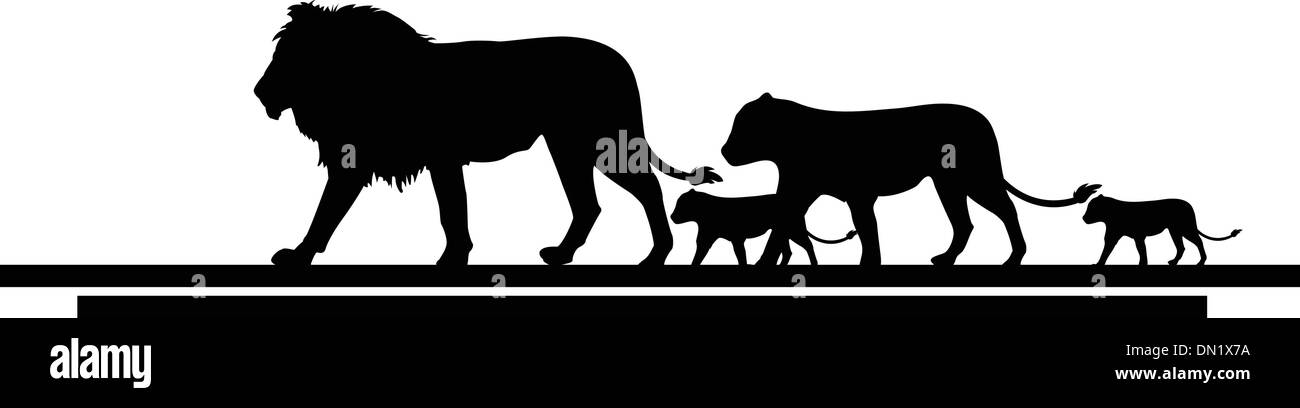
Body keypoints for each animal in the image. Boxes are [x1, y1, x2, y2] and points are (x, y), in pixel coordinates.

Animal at [254, 4, 720, 267]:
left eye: (292, 56)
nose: (260, 92)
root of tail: (619, 60)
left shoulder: (435, 157)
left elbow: (446, 211)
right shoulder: (377, 160)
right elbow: (330, 211)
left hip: (598, 141)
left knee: (647, 187)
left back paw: (656, 257)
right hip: (567, 146)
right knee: (589, 204)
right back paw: (563, 255)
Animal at [720, 93, 1099, 265]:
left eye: (744, 126)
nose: (724, 151)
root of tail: (981, 119)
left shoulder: (857, 195)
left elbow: (867, 231)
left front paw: (869, 264)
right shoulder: (798, 194)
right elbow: (781, 228)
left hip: (975, 179)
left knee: (1006, 211)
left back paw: (1014, 258)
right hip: (950, 185)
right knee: (965, 223)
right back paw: (946, 259)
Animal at [1083, 195, 1241, 265]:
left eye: (1092, 208)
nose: (1083, 218)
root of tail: (1188, 204)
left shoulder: (1138, 236)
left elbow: (1141, 251)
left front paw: (1142, 264)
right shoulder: (1114, 237)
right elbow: (1106, 251)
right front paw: (1098, 264)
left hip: (1185, 229)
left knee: (1198, 241)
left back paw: (1201, 261)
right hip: (1175, 231)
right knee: (1181, 247)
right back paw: (1174, 262)